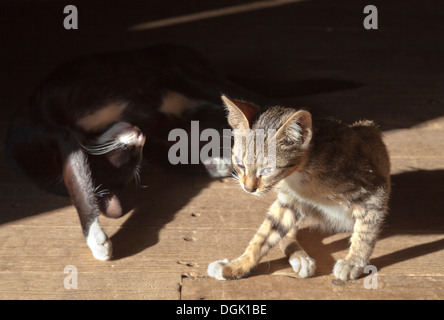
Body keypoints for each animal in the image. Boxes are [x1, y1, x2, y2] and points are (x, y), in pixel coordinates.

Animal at [206, 95, 390, 280]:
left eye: (267, 170)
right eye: (240, 164)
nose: (249, 188)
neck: (301, 175)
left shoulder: (375, 192)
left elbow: (365, 232)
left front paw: (353, 262)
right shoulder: (290, 200)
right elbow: (265, 235)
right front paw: (236, 265)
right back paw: (300, 258)